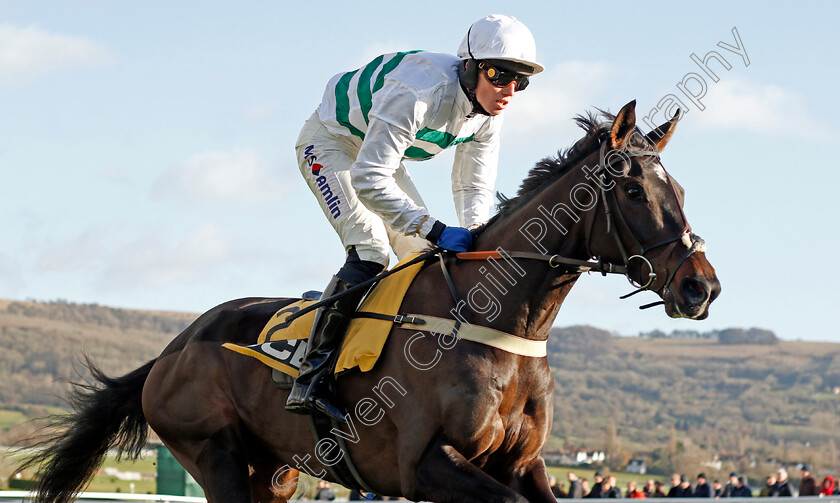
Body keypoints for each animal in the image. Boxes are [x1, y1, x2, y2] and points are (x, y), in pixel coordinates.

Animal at [24, 99, 720, 503]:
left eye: (682, 189)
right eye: (632, 190)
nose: (702, 286)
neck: (496, 322)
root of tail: (171, 350)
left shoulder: (522, 463)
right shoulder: (424, 466)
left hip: (275, 470)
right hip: (212, 451)